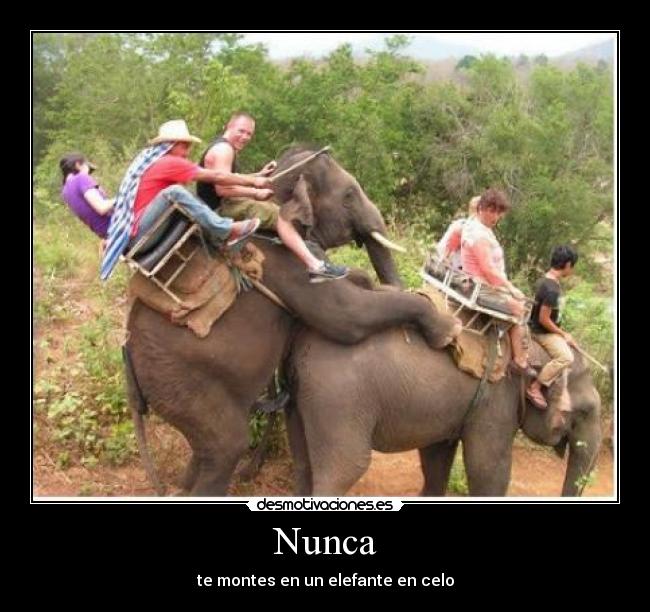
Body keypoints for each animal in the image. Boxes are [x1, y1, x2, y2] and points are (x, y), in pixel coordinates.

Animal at [125, 147, 461, 496]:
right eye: (349, 195)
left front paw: (362, 279)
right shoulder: (287, 262)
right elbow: (345, 317)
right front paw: (448, 331)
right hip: (182, 382)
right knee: (226, 446)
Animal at [285, 324, 603, 497]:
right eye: (586, 412)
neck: (532, 348)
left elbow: (436, 456)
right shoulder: (496, 404)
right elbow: (488, 468)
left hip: (305, 399)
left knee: (303, 461)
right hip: (340, 401)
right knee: (346, 467)